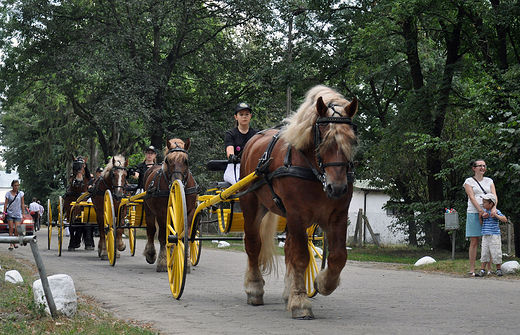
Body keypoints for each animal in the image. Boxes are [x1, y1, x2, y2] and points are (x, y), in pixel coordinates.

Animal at [143, 139, 198, 272]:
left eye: (186, 161)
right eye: (168, 160)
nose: (175, 182)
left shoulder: (189, 211)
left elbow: (184, 236)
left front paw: (185, 261)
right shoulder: (162, 213)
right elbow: (163, 236)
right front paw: (163, 261)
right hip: (149, 212)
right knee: (151, 230)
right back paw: (151, 253)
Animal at [240, 84, 358, 320]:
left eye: (351, 140)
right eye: (323, 139)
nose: (337, 188)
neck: (315, 173)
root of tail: (253, 141)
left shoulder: (338, 216)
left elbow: (338, 256)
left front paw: (322, 283)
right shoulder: (297, 214)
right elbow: (302, 256)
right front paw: (301, 302)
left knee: (288, 250)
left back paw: (288, 292)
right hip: (252, 206)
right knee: (253, 245)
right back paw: (255, 288)